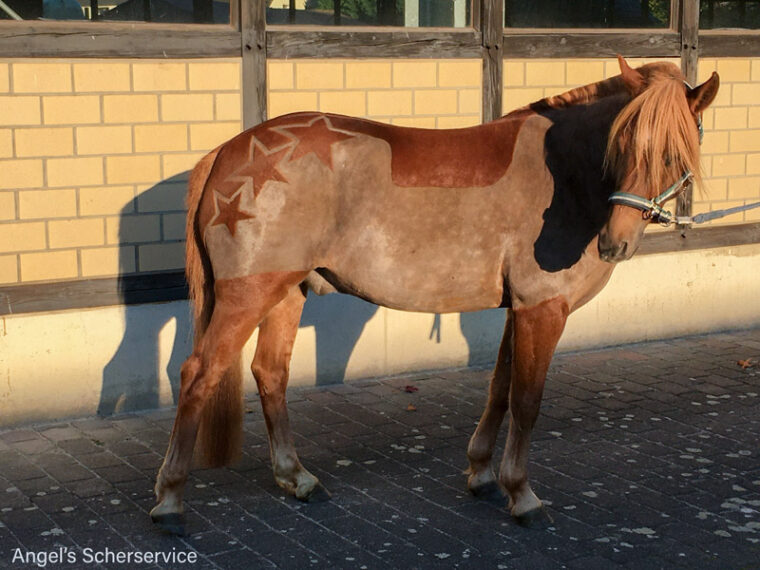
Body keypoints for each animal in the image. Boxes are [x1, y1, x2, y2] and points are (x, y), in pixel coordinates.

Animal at [150, 55, 720, 532]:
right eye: (621, 145)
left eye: (674, 155)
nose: (614, 242)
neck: (563, 174)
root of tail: (229, 152)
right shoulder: (544, 310)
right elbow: (527, 400)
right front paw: (522, 494)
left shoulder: (520, 309)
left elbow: (500, 388)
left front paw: (483, 474)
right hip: (248, 295)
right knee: (197, 376)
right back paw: (171, 500)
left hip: (288, 292)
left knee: (270, 374)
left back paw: (297, 478)